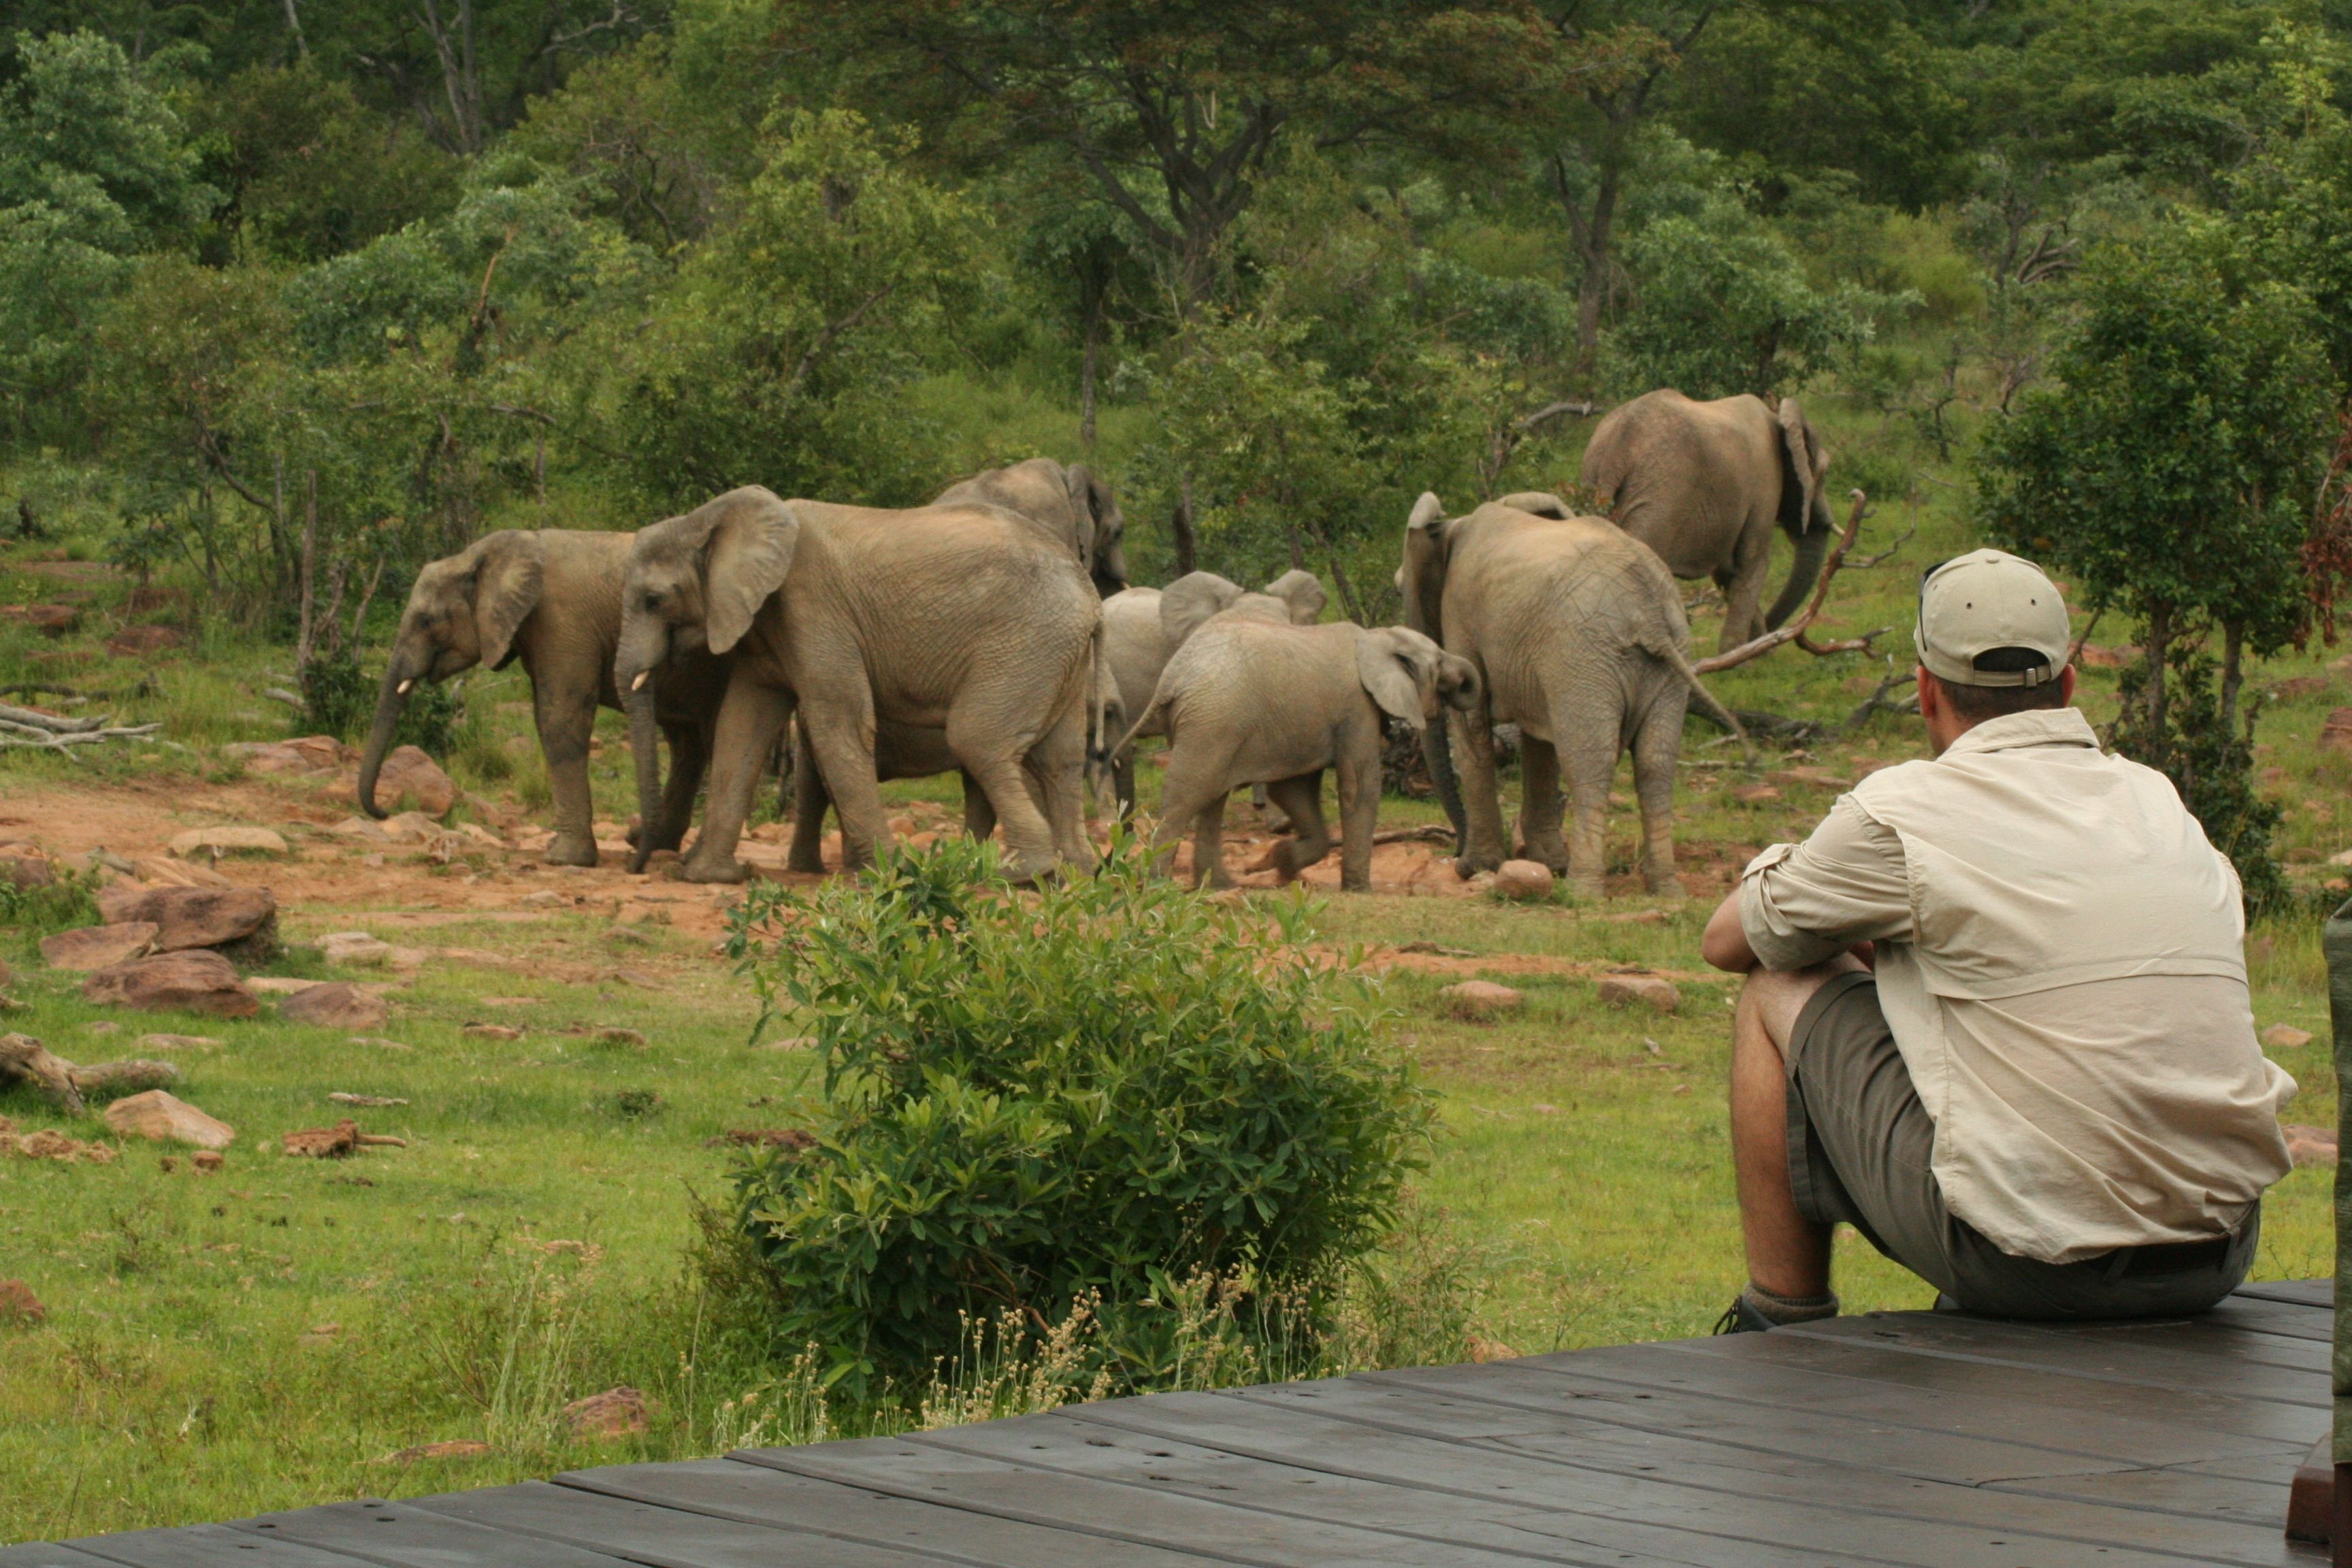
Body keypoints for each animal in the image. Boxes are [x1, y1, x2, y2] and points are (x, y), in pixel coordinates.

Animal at [358, 529, 725, 867]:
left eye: (425, 621)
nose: (384, 811)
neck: (483, 555)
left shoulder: (563, 624)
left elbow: (560, 719)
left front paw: (564, 859)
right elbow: (543, 716)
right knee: (686, 743)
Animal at [614, 487, 1100, 884]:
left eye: (654, 600)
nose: (637, 863)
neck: (708, 518)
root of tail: (1090, 593)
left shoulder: (812, 607)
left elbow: (839, 722)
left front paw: (887, 874)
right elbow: (742, 726)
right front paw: (709, 876)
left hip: (1026, 643)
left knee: (978, 740)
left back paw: (1022, 872)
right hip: (1058, 655)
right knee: (1060, 759)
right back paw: (1072, 875)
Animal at [1126, 621, 1477, 892]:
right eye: (1440, 664)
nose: (1459, 859)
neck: (1378, 637)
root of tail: (1171, 678)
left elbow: (1291, 790)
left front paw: (1280, 863)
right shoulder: (1357, 708)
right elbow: (1359, 787)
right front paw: (1359, 890)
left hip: (1210, 724)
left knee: (1212, 799)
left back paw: (1220, 886)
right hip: (1212, 722)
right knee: (1187, 795)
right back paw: (1158, 886)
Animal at [1398, 491, 1744, 897]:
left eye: (1399, 590)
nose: (1454, 854)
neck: (1454, 525)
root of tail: (1649, 611)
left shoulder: (1461, 612)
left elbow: (1474, 728)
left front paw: (1478, 867)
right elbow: (1539, 744)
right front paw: (1546, 864)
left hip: (1585, 654)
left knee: (1589, 762)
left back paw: (1582, 892)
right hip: (1666, 661)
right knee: (1655, 763)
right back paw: (1666, 889)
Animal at [1578, 390, 1835, 652]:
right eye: (1825, 473)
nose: (1774, 639)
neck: (1779, 419)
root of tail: (1617, 449)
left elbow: (1729, 573)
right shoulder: (1765, 488)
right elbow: (1753, 562)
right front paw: (1743, 655)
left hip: (1597, 481)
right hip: (1658, 500)